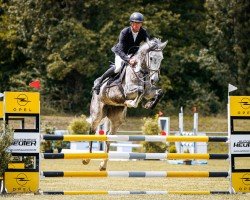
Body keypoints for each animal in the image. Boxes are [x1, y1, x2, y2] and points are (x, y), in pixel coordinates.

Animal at [83, 38, 167, 170]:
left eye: (161, 58)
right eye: (151, 57)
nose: (154, 79)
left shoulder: (149, 92)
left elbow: (158, 92)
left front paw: (149, 105)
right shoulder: (128, 90)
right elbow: (139, 91)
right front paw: (131, 102)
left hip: (117, 118)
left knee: (109, 137)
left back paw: (103, 165)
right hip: (98, 113)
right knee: (92, 130)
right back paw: (87, 159)